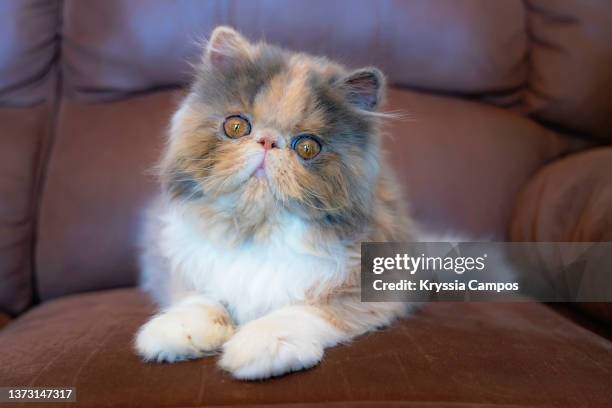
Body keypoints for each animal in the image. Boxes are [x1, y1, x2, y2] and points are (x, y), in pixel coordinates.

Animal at [134, 27, 418, 380]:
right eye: (236, 126)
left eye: (307, 147)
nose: (268, 141)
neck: (259, 233)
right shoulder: (184, 265)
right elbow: (200, 299)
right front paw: (177, 332)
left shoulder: (374, 286)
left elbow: (306, 312)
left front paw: (259, 345)